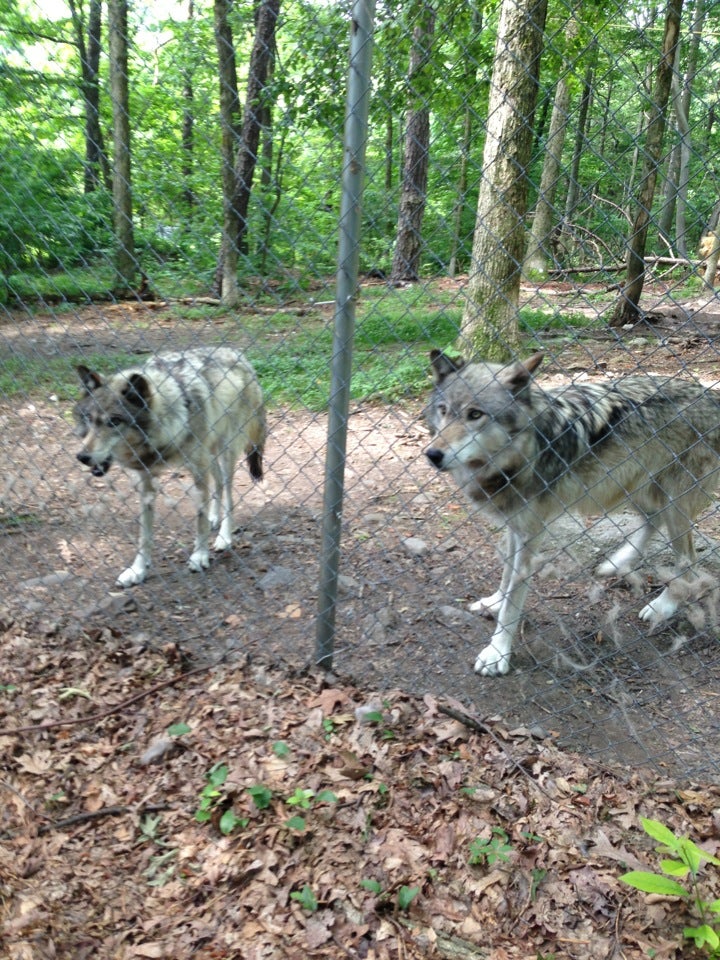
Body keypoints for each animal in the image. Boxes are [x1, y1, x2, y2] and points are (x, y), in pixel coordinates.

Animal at [75, 346, 266, 588]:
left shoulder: (198, 471)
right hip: (210, 455)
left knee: (229, 493)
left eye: (114, 421)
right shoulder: (146, 482)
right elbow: (144, 535)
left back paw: (224, 536)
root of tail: (237, 353)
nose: (82, 456)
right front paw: (137, 570)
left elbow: (199, 521)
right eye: (89, 418)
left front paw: (199, 556)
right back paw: (214, 518)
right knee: (218, 485)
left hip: (226, 452)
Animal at [425, 349, 720, 677]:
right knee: (651, 520)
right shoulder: (516, 526)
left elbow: (513, 602)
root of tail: (712, 395)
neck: (526, 450)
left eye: (475, 414)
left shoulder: (532, 534)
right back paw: (616, 562)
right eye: (443, 410)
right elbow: (505, 575)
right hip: (631, 487)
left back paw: (663, 605)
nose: (432, 454)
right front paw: (493, 603)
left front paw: (497, 653)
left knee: (687, 560)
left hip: (671, 501)